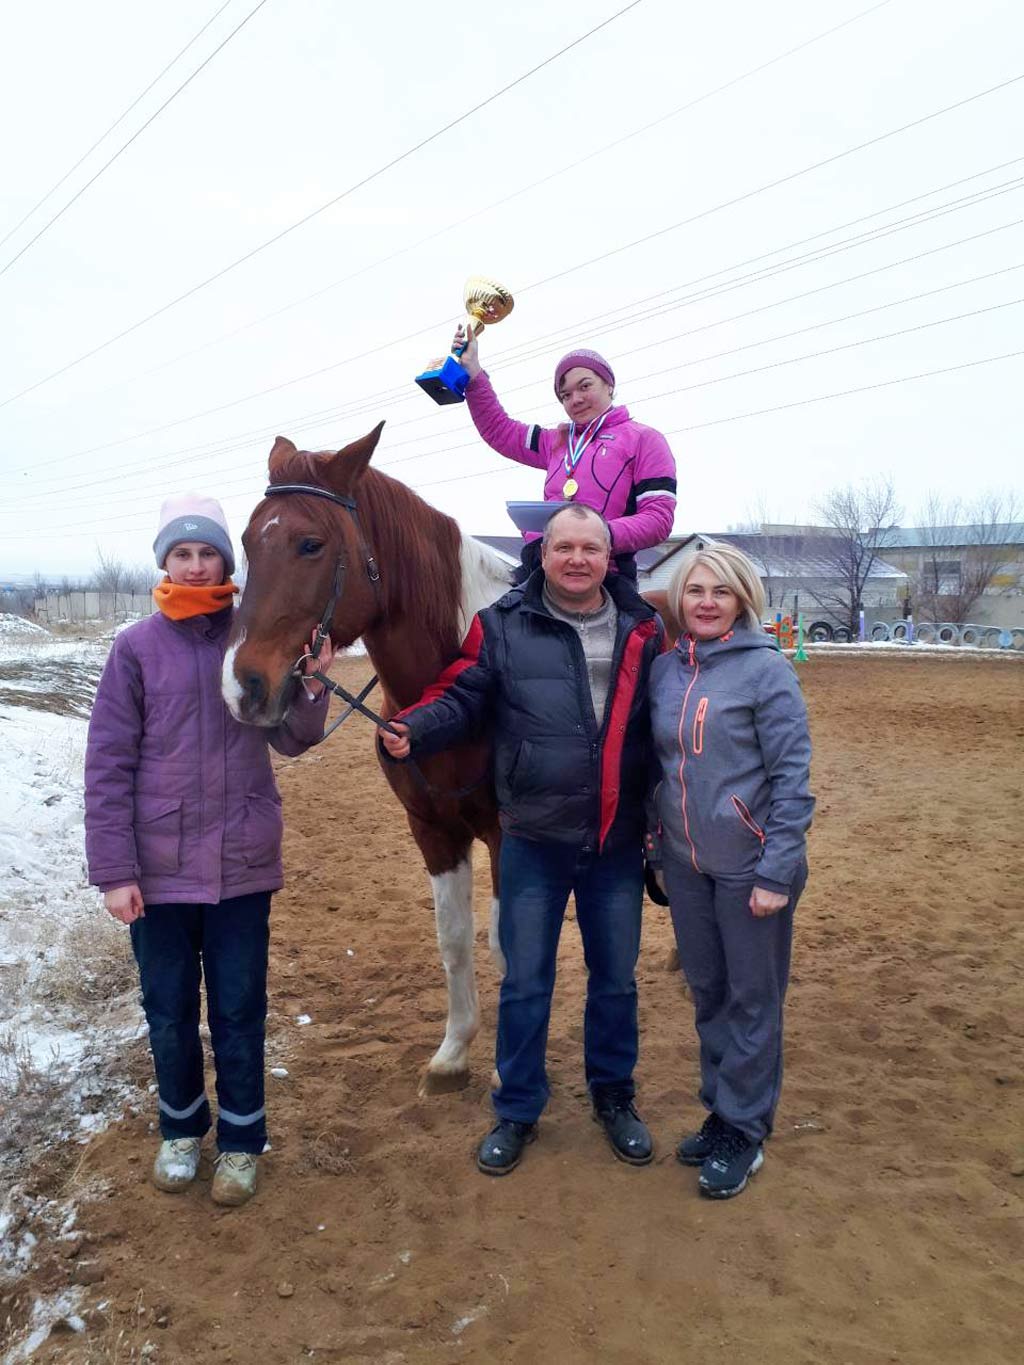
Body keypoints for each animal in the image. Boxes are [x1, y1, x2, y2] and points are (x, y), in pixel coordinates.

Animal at [222, 425, 513, 1097]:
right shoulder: (433, 831)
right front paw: (454, 1053)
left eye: (311, 543)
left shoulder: (512, 836)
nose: (244, 686)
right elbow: (455, 940)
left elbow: (510, 948)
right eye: (247, 541)